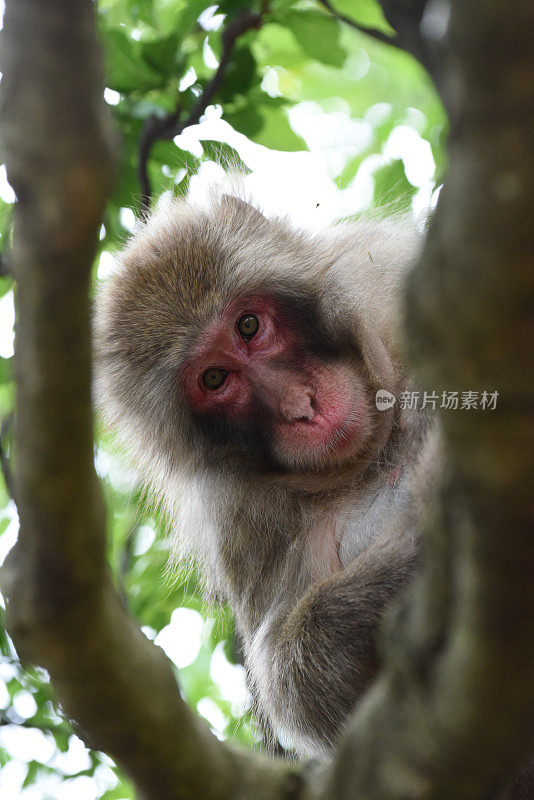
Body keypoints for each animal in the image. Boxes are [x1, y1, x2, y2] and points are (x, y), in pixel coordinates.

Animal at [95, 191, 440, 760]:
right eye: (215, 378)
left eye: (249, 326)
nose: (300, 405)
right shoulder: (241, 527)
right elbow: (297, 685)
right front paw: (408, 563)